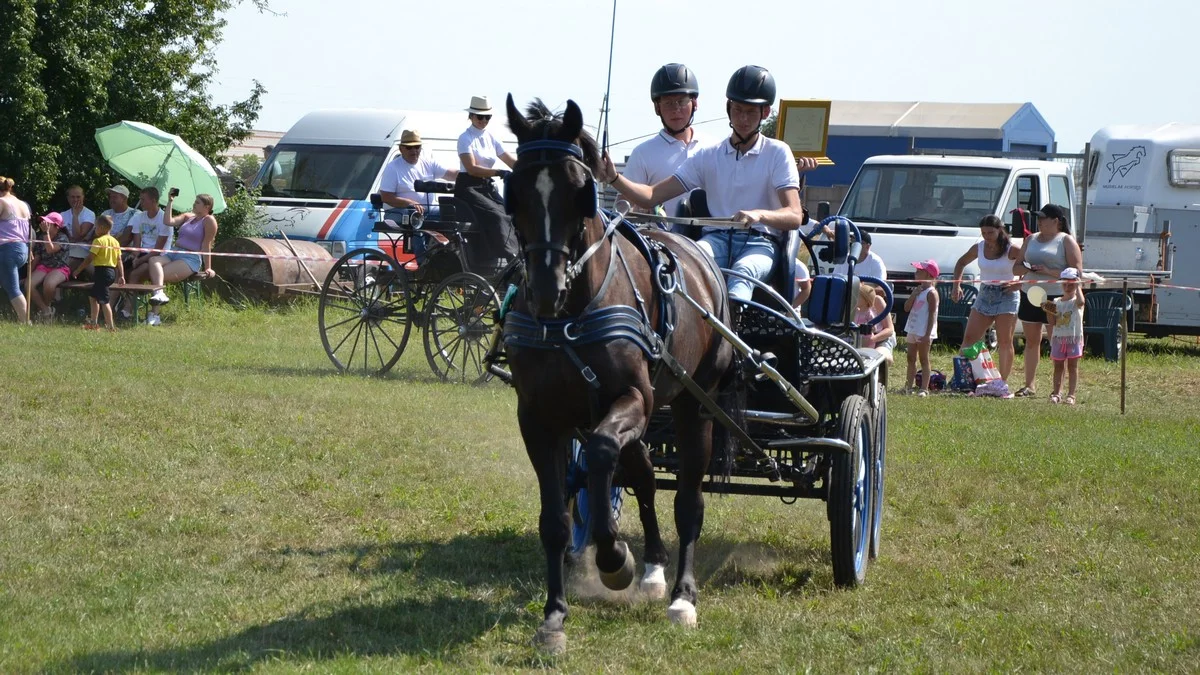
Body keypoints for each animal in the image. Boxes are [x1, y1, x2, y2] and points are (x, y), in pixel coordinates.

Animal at [499, 91, 734, 648]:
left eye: (579, 191)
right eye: (515, 190)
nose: (546, 288)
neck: (569, 314)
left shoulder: (634, 399)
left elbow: (603, 457)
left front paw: (613, 560)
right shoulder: (539, 418)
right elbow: (557, 518)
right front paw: (554, 615)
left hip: (694, 405)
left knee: (688, 501)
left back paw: (681, 595)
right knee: (643, 475)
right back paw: (652, 568)